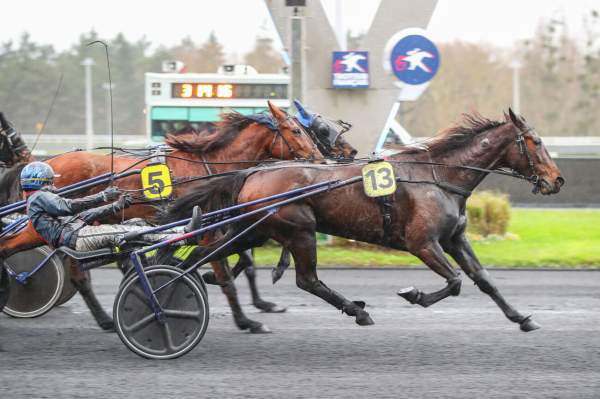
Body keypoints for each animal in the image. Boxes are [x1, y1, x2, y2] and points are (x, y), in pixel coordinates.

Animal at [0, 102, 324, 332]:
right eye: (296, 131)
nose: (320, 158)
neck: (206, 165)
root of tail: (48, 162)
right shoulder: (208, 226)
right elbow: (224, 271)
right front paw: (246, 320)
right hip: (51, 219)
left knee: (78, 275)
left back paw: (105, 319)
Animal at [163, 108, 564, 332]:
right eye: (536, 141)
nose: (557, 180)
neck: (437, 176)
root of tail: (252, 172)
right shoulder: (423, 243)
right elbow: (453, 282)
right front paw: (414, 294)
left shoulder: (454, 239)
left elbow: (483, 280)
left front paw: (522, 318)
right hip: (299, 231)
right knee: (307, 280)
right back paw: (356, 310)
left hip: (258, 230)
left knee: (208, 253)